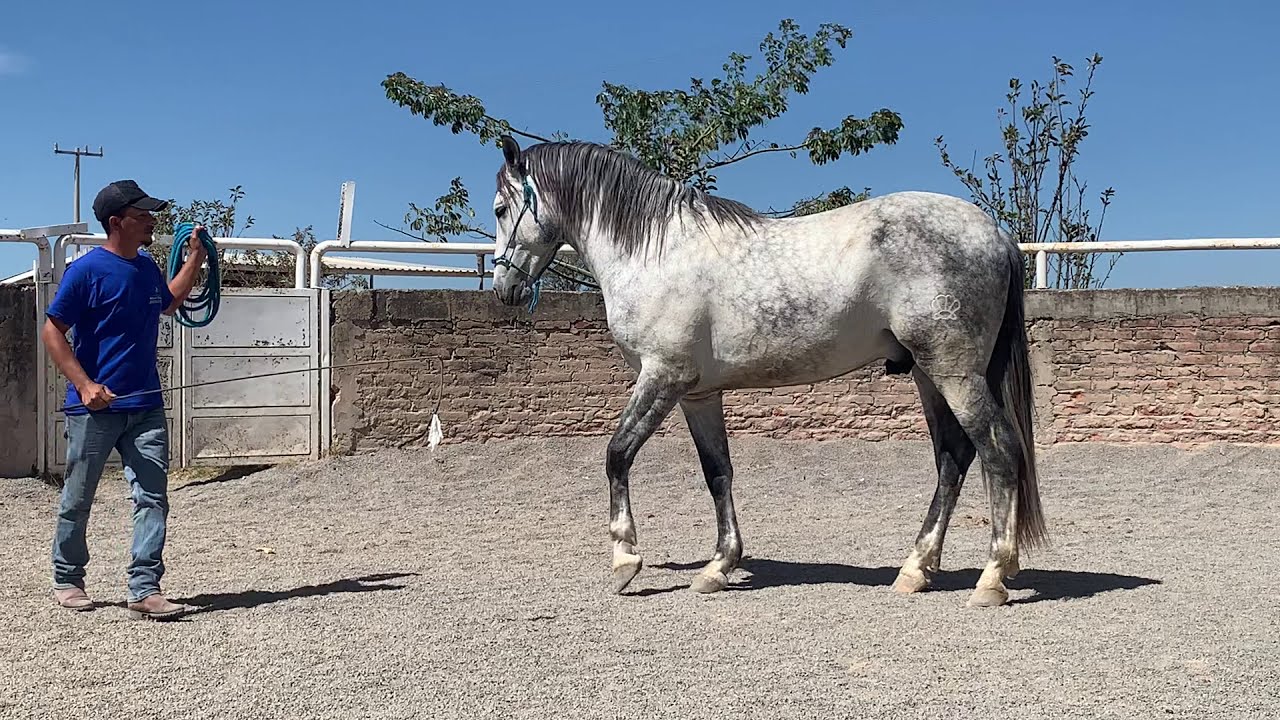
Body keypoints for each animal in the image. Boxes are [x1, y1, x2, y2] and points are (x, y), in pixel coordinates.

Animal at [488, 134, 1046, 607]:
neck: (657, 251)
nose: (503, 289)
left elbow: (617, 455)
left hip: (955, 373)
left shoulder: (662, 378)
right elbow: (717, 473)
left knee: (998, 451)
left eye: (500, 209)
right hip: (930, 375)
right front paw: (718, 567)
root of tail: (995, 233)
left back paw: (992, 577)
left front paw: (625, 560)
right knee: (953, 459)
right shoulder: (697, 395)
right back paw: (916, 569)